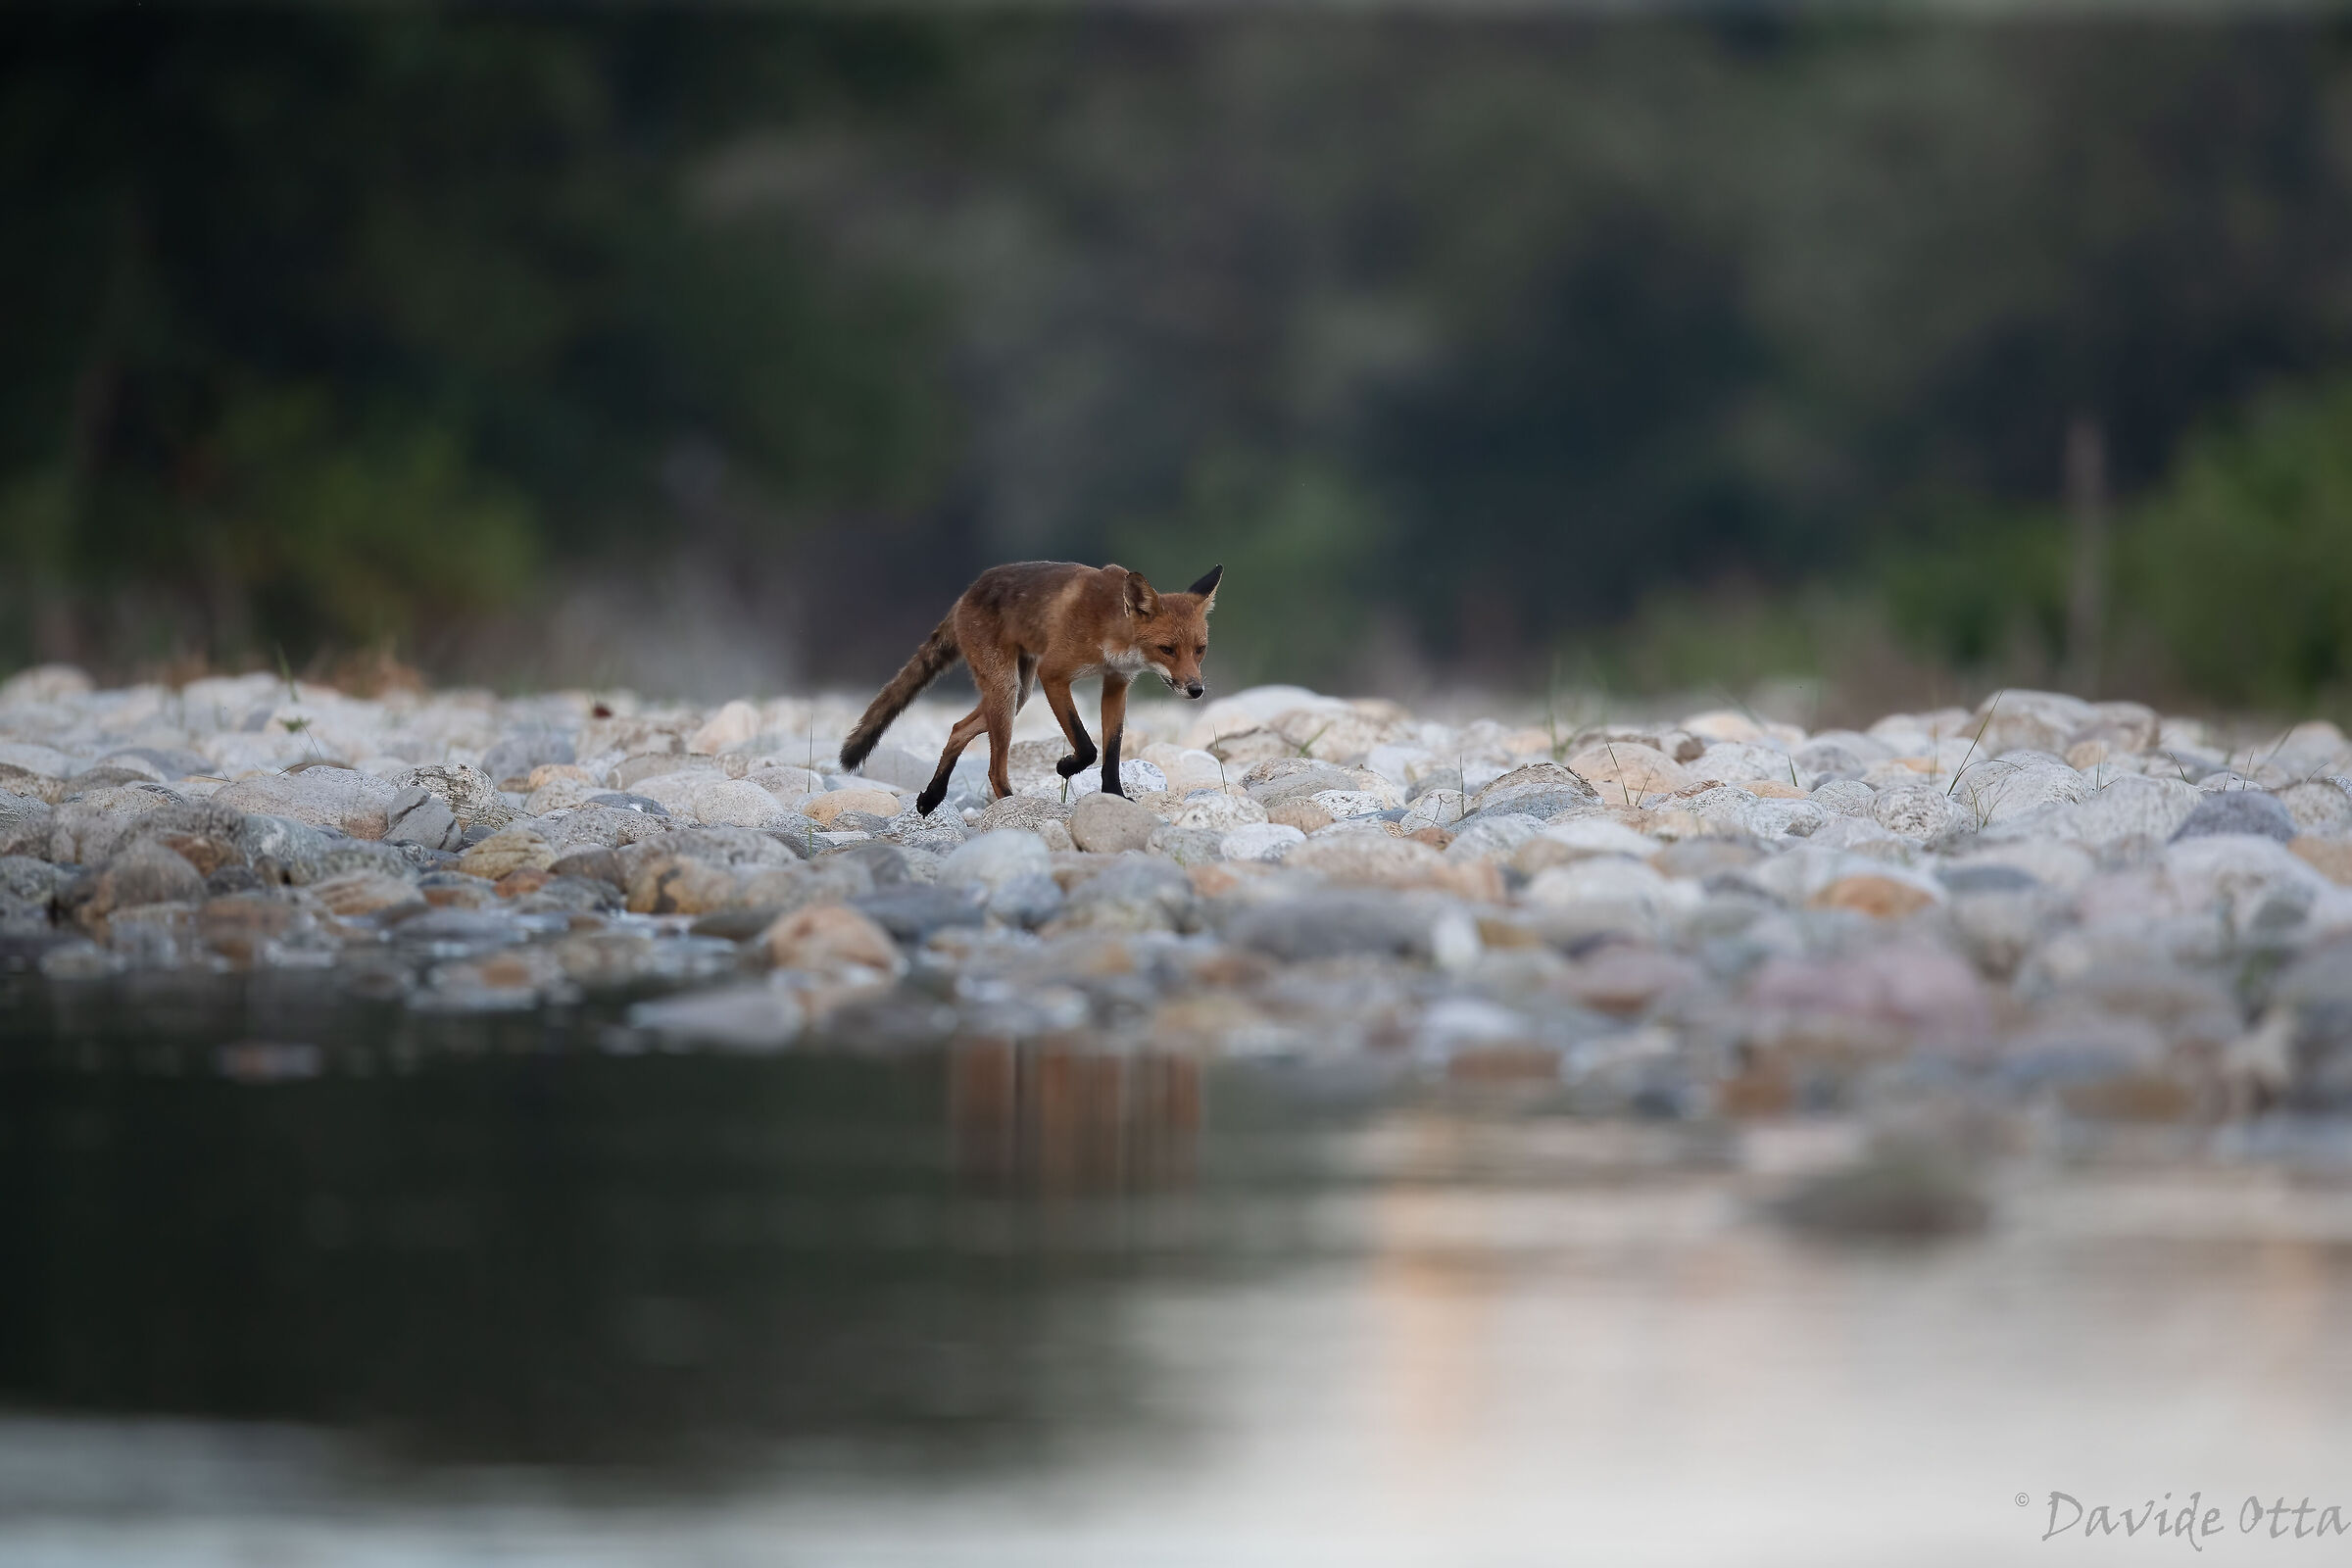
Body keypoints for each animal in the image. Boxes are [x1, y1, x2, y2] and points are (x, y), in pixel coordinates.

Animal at [839, 560, 1223, 816]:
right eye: (1167, 649)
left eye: (1200, 649)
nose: (1196, 690)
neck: (1112, 630)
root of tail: (968, 592)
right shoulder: (1052, 674)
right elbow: (1088, 746)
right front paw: (1066, 767)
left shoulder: (1116, 684)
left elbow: (1112, 751)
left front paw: (1114, 797)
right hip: (1007, 691)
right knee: (994, 769)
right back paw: (1012, 806)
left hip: (1016, 695)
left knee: (958, 728)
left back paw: (932, 797)